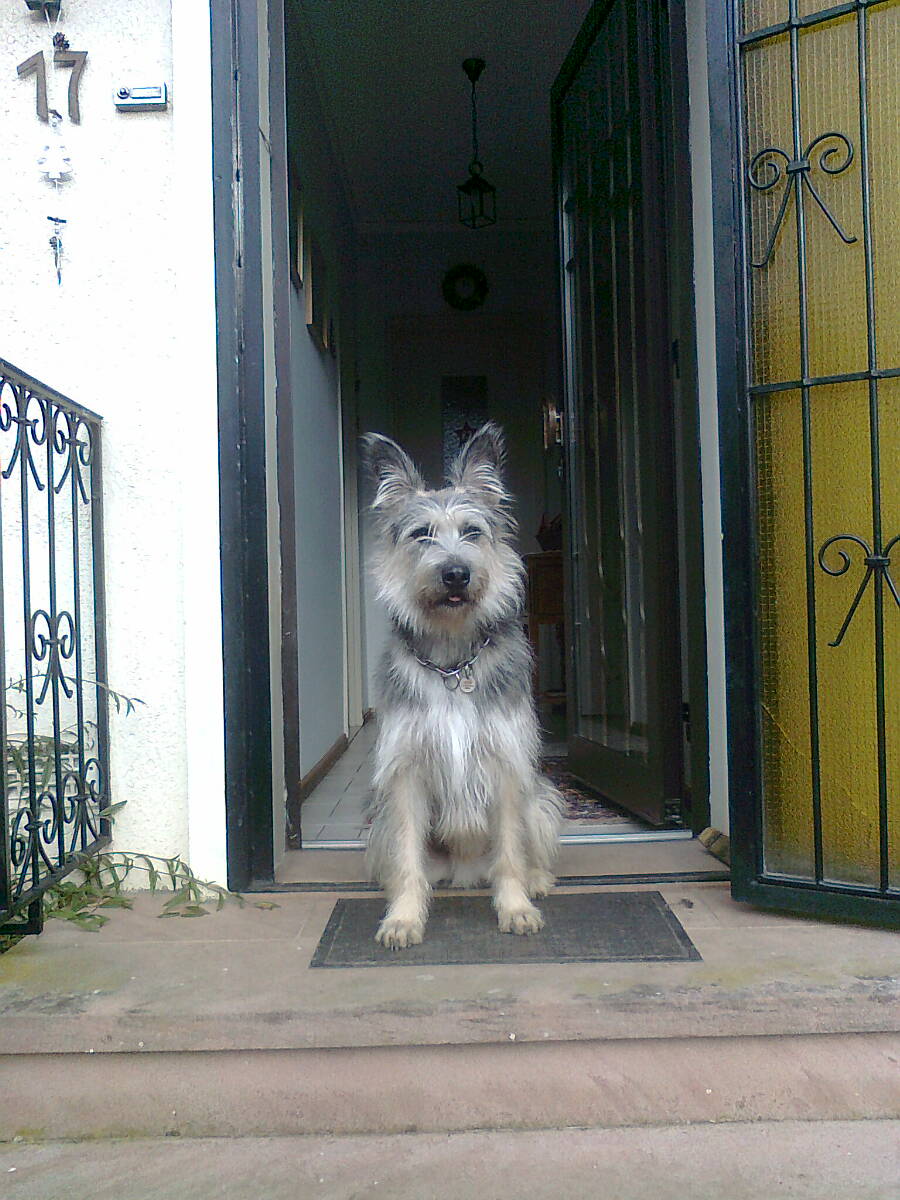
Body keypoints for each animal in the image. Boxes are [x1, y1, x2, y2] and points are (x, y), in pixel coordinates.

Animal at [361, 422, 563, 949]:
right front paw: (404, 917)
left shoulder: (507, 765)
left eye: (473, 531)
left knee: (526, 847)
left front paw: (515, 907)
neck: (452, 663)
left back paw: (536, 880)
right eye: (422, 535)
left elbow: (510, 851)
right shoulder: (405, 771)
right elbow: (408, 858)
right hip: (379, 820)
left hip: (543, 797)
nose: (456, 573)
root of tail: (466, 872)